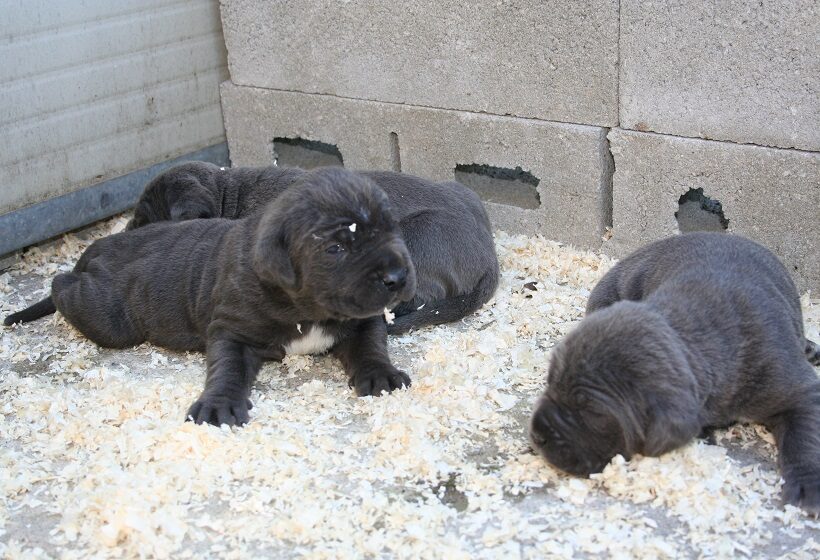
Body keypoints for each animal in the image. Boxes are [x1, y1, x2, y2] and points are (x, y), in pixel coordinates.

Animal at [528, 233, 820, 516]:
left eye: (592, 413)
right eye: (550, 381)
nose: (537, 435)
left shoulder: (796, 387)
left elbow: (805, 436)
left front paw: (807, 485)